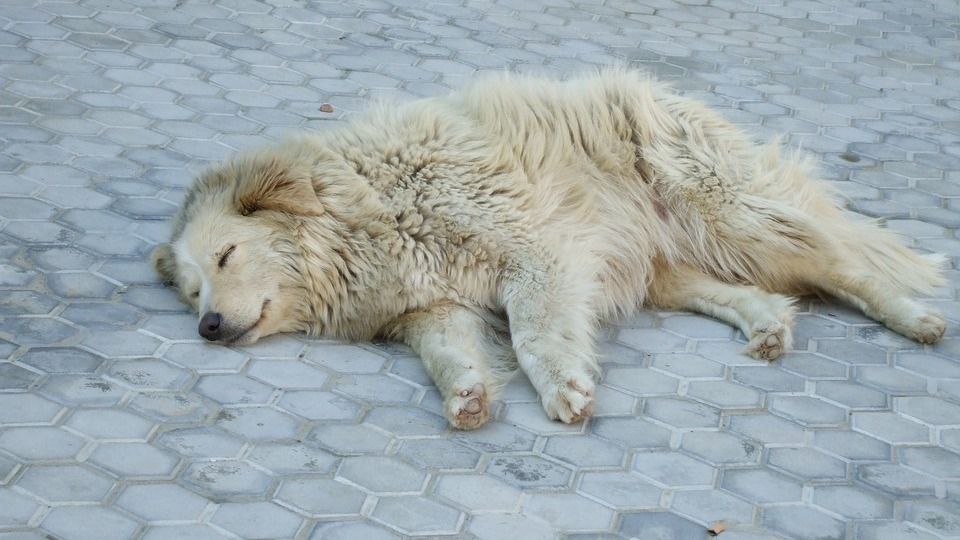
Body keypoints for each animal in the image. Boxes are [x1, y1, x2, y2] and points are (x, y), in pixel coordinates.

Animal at [152, 69, 944, 428]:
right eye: (191, 293)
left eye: (225, 258)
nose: (208, 328)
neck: (365, 212)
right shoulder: (429, 306)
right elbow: (446, 354)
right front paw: (469, 393)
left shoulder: (537, 253)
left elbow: (535, 333)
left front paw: (564, 385)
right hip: (659, 262)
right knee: (749, 291)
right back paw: (767, 326)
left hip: (725, 211)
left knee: (844, 266)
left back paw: (914, 318)